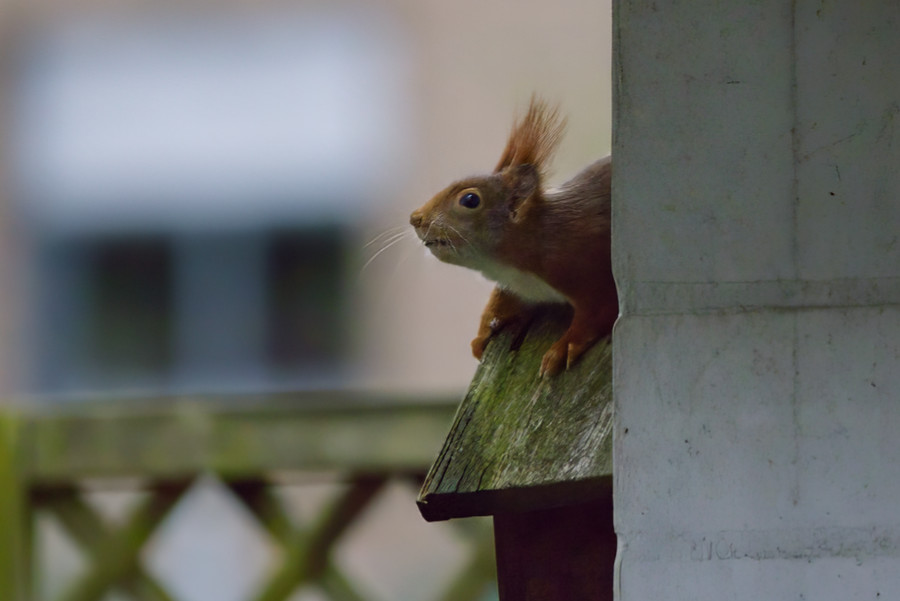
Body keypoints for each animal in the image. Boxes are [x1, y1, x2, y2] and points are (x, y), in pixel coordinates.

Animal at [409, 96, 617, 377]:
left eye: (470, 199)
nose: (415, 218)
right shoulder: (520, 286)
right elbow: (503, 300)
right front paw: (483, 332)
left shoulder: (585, 269)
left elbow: (598, 311)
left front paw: (563, 347)